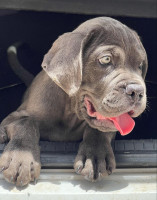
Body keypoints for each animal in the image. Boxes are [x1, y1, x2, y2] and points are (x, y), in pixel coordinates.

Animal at [0, 16, 147, 186]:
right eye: (106, 59)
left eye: (140, 65)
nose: (137, 91)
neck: (69, 112)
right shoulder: (13, 116)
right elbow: (26, 122)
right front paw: (20, 158)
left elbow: (97, 129)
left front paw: (95, 157)